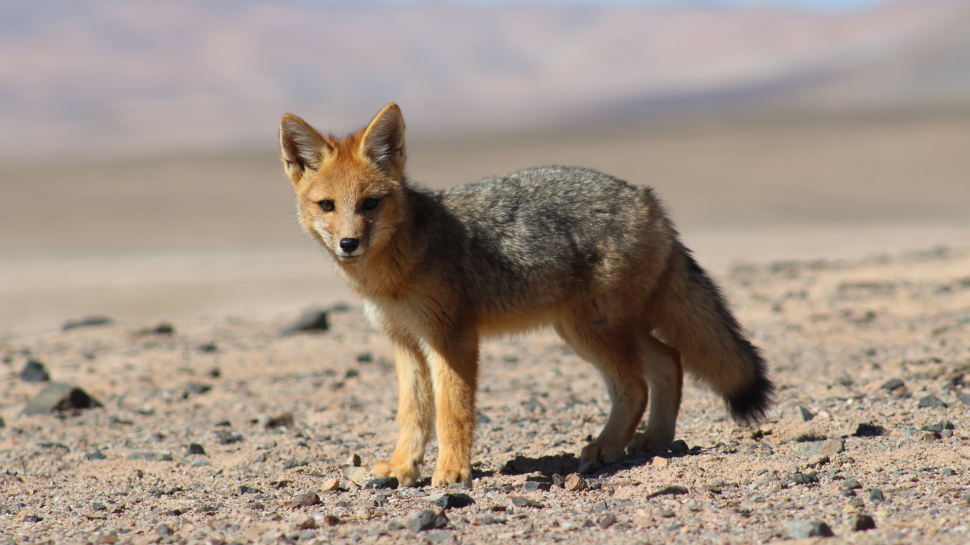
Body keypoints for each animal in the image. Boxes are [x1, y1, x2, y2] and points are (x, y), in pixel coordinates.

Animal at [278, 104, 772, 486]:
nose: (349, 244)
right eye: (328, 206)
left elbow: (453, 412)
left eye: (370, 204)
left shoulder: (452, 339)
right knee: (668, 359)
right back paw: (655, 440)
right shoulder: (405, 342)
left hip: (592, 331)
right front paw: (402, 468)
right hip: (592, 329)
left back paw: (608, 445)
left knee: (635, 384)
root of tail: (646, 198)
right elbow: (413, 413)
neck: (392, 272)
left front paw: (452, 472)